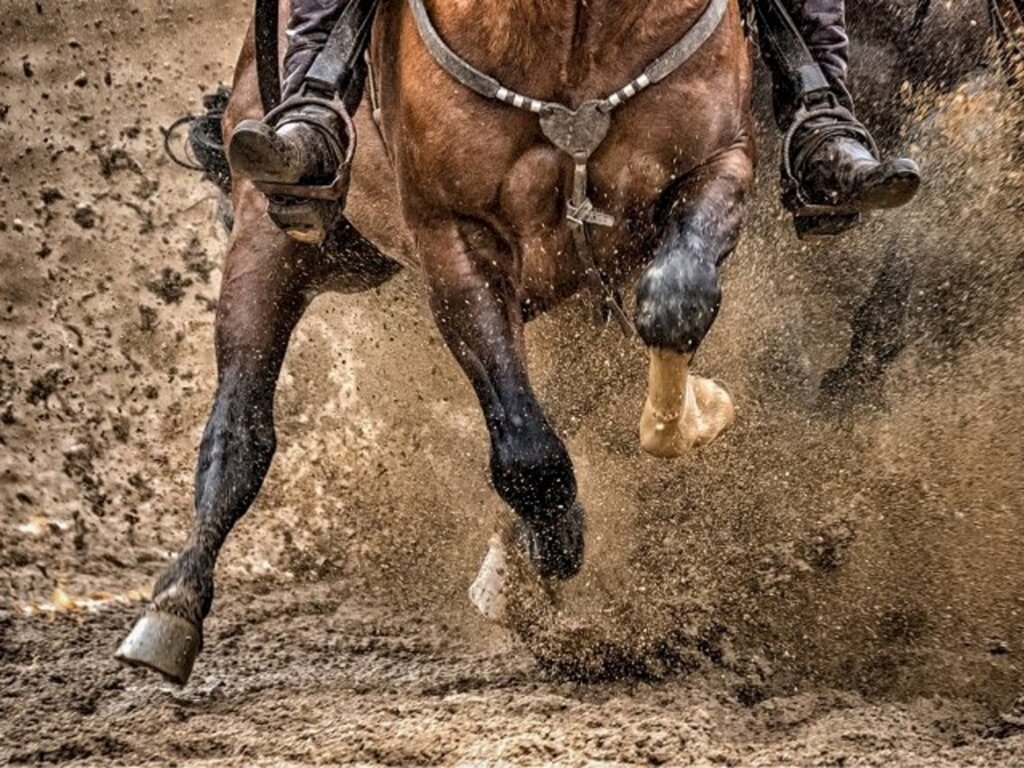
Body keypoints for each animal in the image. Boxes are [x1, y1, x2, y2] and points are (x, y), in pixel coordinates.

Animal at [117, 0, 753, 684]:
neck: (575, 28)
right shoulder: (455, 236)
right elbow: (526, 448)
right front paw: (547, 547)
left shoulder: (717, 163)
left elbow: (676, 298)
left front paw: (695, 414)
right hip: (274, 236)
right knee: (239, 432)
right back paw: (173, 608)